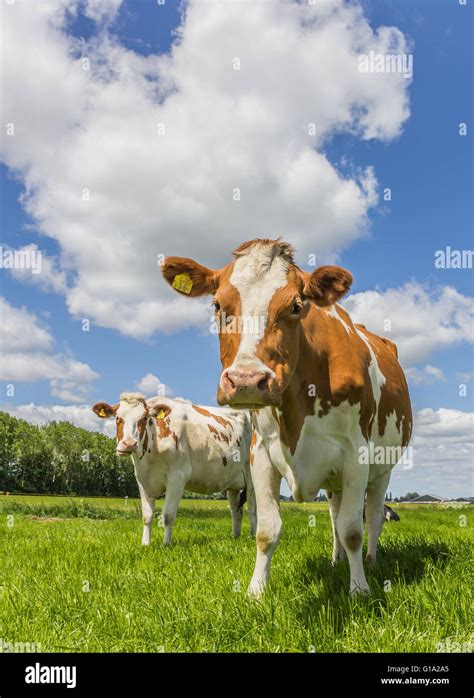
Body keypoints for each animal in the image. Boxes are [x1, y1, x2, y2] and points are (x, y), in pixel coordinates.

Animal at [92, 392, 256, 544]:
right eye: (117, 418)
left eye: (144, 418)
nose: (129, 444)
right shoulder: (142, 480)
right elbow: (147, 515)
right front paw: (145, 544)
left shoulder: (177, 478)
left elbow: (168, 515)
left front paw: (167, 543)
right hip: (232, 483)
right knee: (235, 510)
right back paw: (235, 536)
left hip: (251, 477)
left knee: (252, 506)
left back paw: (253, 536)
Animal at [161, 238, 412, 592]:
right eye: (217, 305)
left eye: (295, 306)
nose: (246, 381)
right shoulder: (261, 455)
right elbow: (267, 531)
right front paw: (256, 590)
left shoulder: (356, 456)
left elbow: (353, 530)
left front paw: (359, 590)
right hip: (334, 481)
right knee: (334, 515)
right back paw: (336, 560)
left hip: (382, 469)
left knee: (373, 517)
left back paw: (371, 562)